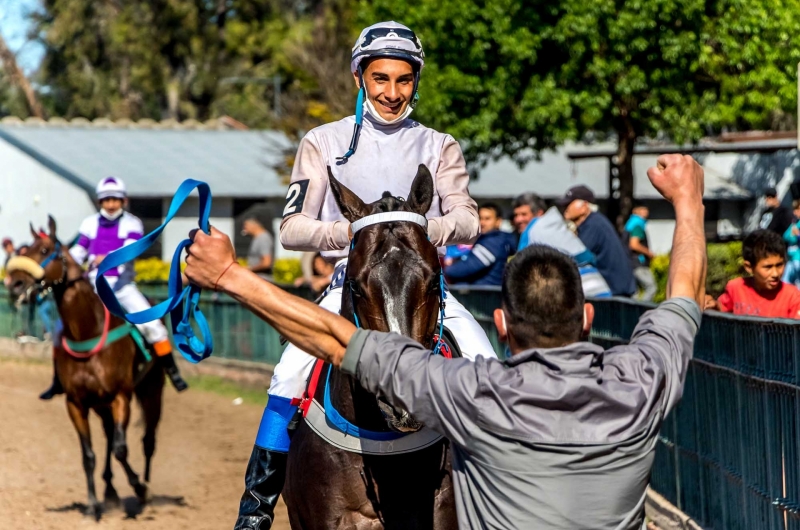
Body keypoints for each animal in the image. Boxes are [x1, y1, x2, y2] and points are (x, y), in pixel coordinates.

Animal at [7, 217, 164, 516]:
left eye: (44, 250)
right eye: (26, 248)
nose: (15, 284)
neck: (87, 331)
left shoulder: (121, 396)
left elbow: (121, 449)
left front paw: (138, 486)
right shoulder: (76, 403)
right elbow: (89, 454)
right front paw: (92, 504)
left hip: (151, 390)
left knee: (148, 440)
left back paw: (147, 489)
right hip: (100, 404)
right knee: (109, 437)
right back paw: (110, 490)